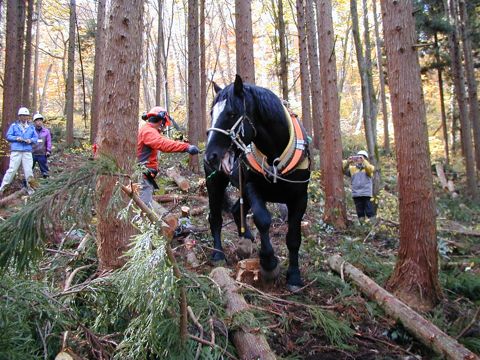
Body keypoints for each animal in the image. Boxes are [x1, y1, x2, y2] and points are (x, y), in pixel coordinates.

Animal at [203, 74, 312, 292]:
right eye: (211, 113)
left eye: (232, 113)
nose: (210, 156)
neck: (275, 156)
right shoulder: (252, 187)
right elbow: (262, 219)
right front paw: (269, 263)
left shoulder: (300, 198)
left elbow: (294, 237)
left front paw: (294, 276)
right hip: (215, 183)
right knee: (215, 219)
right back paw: (218, 253)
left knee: (236, 210)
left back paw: (246, 239)